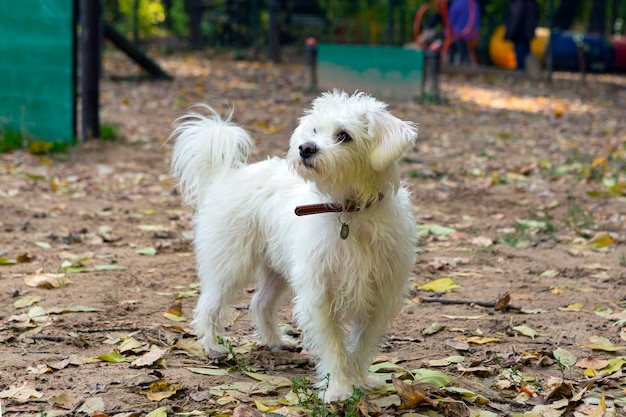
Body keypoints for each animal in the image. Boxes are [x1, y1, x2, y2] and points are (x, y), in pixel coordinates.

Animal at [168, 90, 416, 400]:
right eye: (314, 130)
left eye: (343, 135)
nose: (305, 148)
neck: (349, 211)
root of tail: (227, 176)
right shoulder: (319, 295)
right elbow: (335, 347)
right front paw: (338, 390)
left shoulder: (379, 298)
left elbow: (360, 345)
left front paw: (359, 379)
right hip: (230, 265)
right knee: (209, 304)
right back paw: (212, 345)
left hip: (277, 269)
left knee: (259, 303)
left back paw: (275, 341)